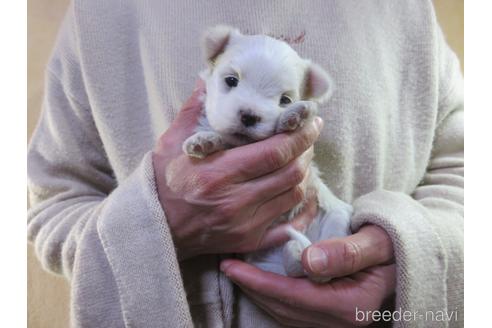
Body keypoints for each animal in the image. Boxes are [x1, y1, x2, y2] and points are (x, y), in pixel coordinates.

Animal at [183, 26, 352, 282]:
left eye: (285, 99)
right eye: (231, 80)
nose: (249, 116)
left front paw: (295, 114)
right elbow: (218, 137)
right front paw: (203, 141)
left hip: (337, 218)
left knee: (318, 269)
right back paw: (294, 252)